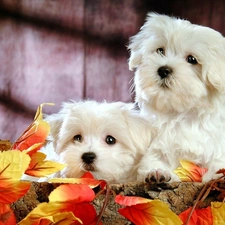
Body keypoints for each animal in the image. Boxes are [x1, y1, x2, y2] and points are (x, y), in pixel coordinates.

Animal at [128, 12, 225, 183]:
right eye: (160, 50)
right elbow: (152, 160)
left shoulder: (216, 149)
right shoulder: (155, 146)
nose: (163, 70)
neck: (180, 114)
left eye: (192, 59)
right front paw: (157, 172)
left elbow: (216, 166)